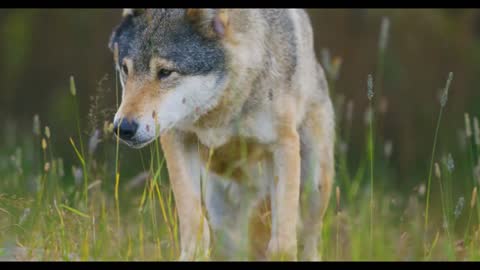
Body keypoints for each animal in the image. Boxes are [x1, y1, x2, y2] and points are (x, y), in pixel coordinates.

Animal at [108, 8, 334, 262]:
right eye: (126, 69)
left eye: (165, 72)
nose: (123, 128)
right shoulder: (177, 139)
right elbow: (193, 224)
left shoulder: (283, 144)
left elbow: (283, 243)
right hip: (224, 215)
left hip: (314, 186)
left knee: (309, 241)